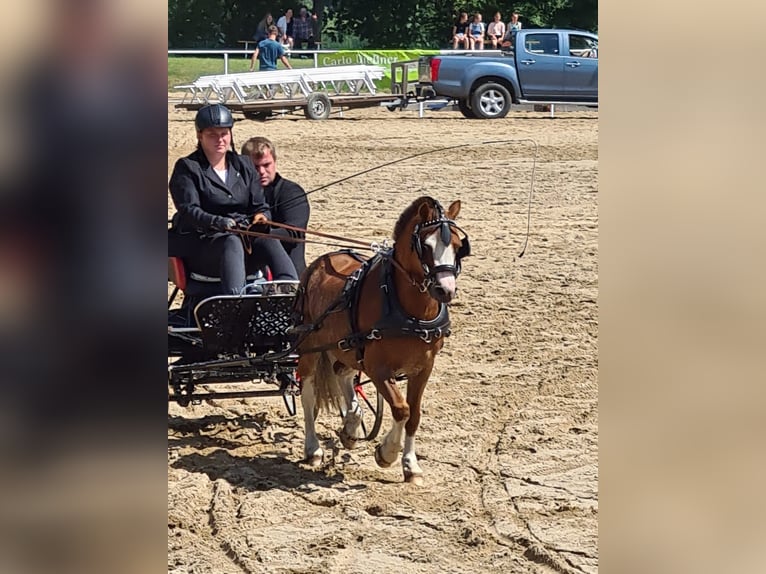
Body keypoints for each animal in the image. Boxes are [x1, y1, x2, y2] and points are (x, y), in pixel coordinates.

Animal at [294, 198, 472, 486]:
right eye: (426, 245)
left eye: (458, 246)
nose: (445, 290)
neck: (408, 311)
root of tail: (321, 262)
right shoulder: (378, 369)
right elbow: (401, 409)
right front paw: (387, 453)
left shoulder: (424, 368)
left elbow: (415, 415)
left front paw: (411, 465)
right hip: (309, 347)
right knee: (308, 393)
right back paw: (314, 449)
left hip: (346, 347)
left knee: (342, 374)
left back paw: (351, 427)